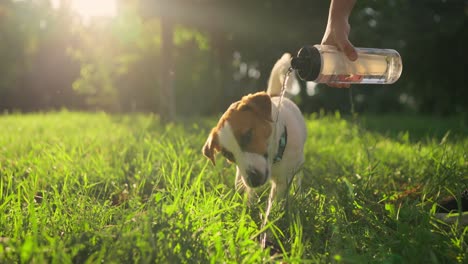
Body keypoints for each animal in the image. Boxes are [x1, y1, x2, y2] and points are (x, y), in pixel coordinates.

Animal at [201, 53, 308, 208]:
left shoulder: (283, 178)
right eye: (228, 154)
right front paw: (247, 207)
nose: (253, 180)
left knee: (298, 177)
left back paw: (298, 193)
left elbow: (277, 199)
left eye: (247, 135)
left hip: (299, 162)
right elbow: (242, 188)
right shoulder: (241, 173)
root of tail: (275, 95)